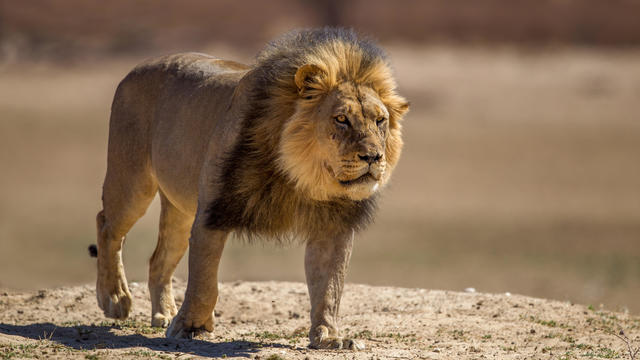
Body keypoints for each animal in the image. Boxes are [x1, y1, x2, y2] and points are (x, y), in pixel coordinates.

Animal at [92, 27, 408, 348]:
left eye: (380, 121)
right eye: (341, 119)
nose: (373, 157)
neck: (300, 176)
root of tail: (139, 66)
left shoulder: (333, 227)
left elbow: (330, 287)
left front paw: (329, 335)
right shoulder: (212, 211)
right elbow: (204, 279)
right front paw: (191, 326)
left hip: (179, 208)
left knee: (159, 258)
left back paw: (164, 313)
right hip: (133, 180)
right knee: (107, 225)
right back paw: (114, 299)